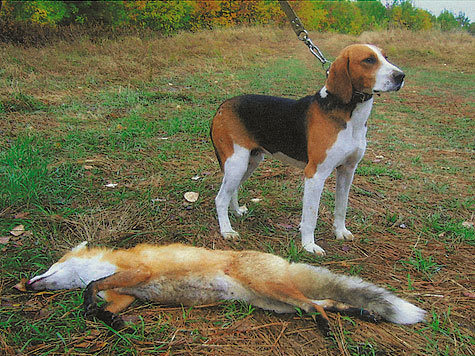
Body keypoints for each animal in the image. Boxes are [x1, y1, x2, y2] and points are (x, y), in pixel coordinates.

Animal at [212, 43, 406, 256]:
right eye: (369, 60)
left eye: (386, 57)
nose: (401, 76)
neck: (350, 115)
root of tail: (223, 106)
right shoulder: (315, 175)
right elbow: (310, 217)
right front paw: (308, 245)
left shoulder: (347, 171)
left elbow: (342, 206)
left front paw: (340, 232)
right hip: (237, 163)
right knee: (220, 198)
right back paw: (227, 231)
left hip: (250, 162)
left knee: (231, 191)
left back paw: (236, 212)